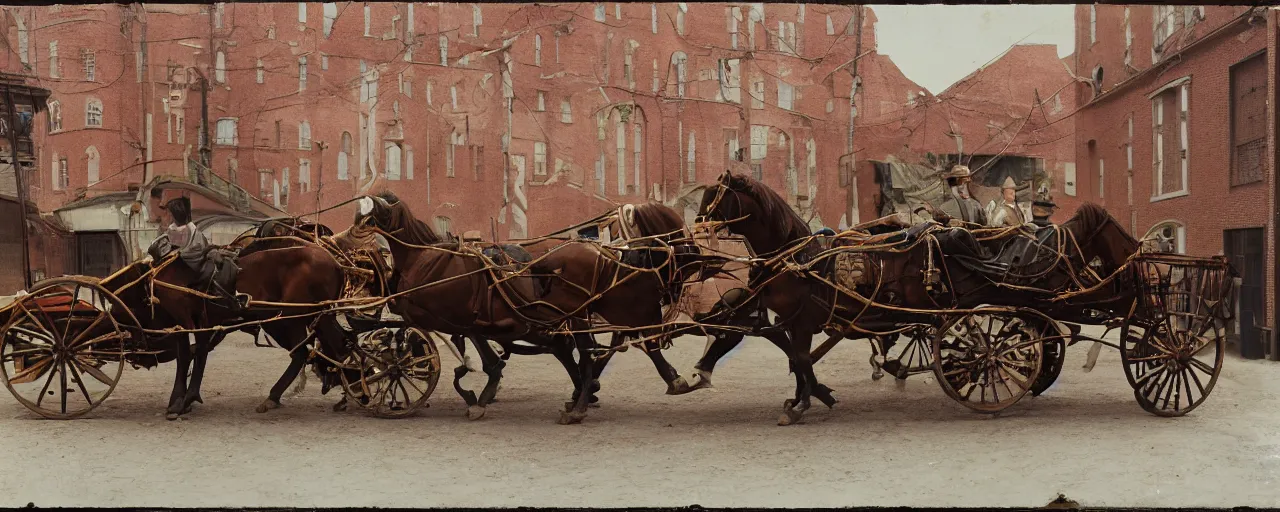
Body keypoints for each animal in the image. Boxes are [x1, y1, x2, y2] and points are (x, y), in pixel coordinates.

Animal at [701, 171, 1152, 424]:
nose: (698, 225)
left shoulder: (804, 319)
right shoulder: (795, 321)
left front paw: (805, 402)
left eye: (715, 197)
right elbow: (799, 359)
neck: (799, 256)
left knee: (994, 342)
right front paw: (808, 397)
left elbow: (799, 359)